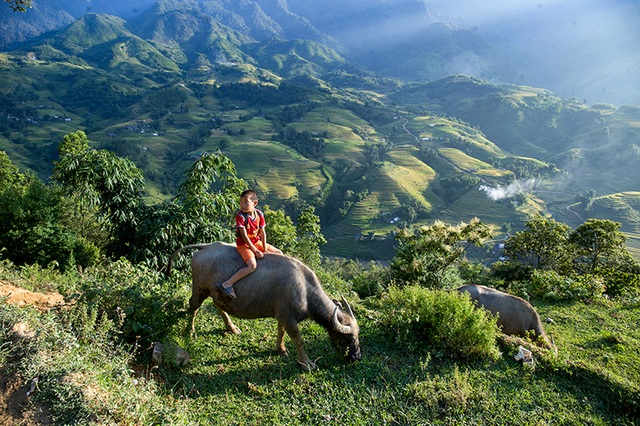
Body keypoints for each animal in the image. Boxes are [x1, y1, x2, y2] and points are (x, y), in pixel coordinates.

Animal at [168, 243, 362, 370]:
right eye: (349, 338)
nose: (357, 357)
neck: (306, 291)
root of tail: (206, 247)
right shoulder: (289, 318)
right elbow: (299, 341)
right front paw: (307, 364)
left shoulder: (282, 316)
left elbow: (281, 332)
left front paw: (281, 349)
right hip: (199, 288)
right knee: (193, 306)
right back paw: (190, 331)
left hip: (215, 292)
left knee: (218, 305)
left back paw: (231, 327)